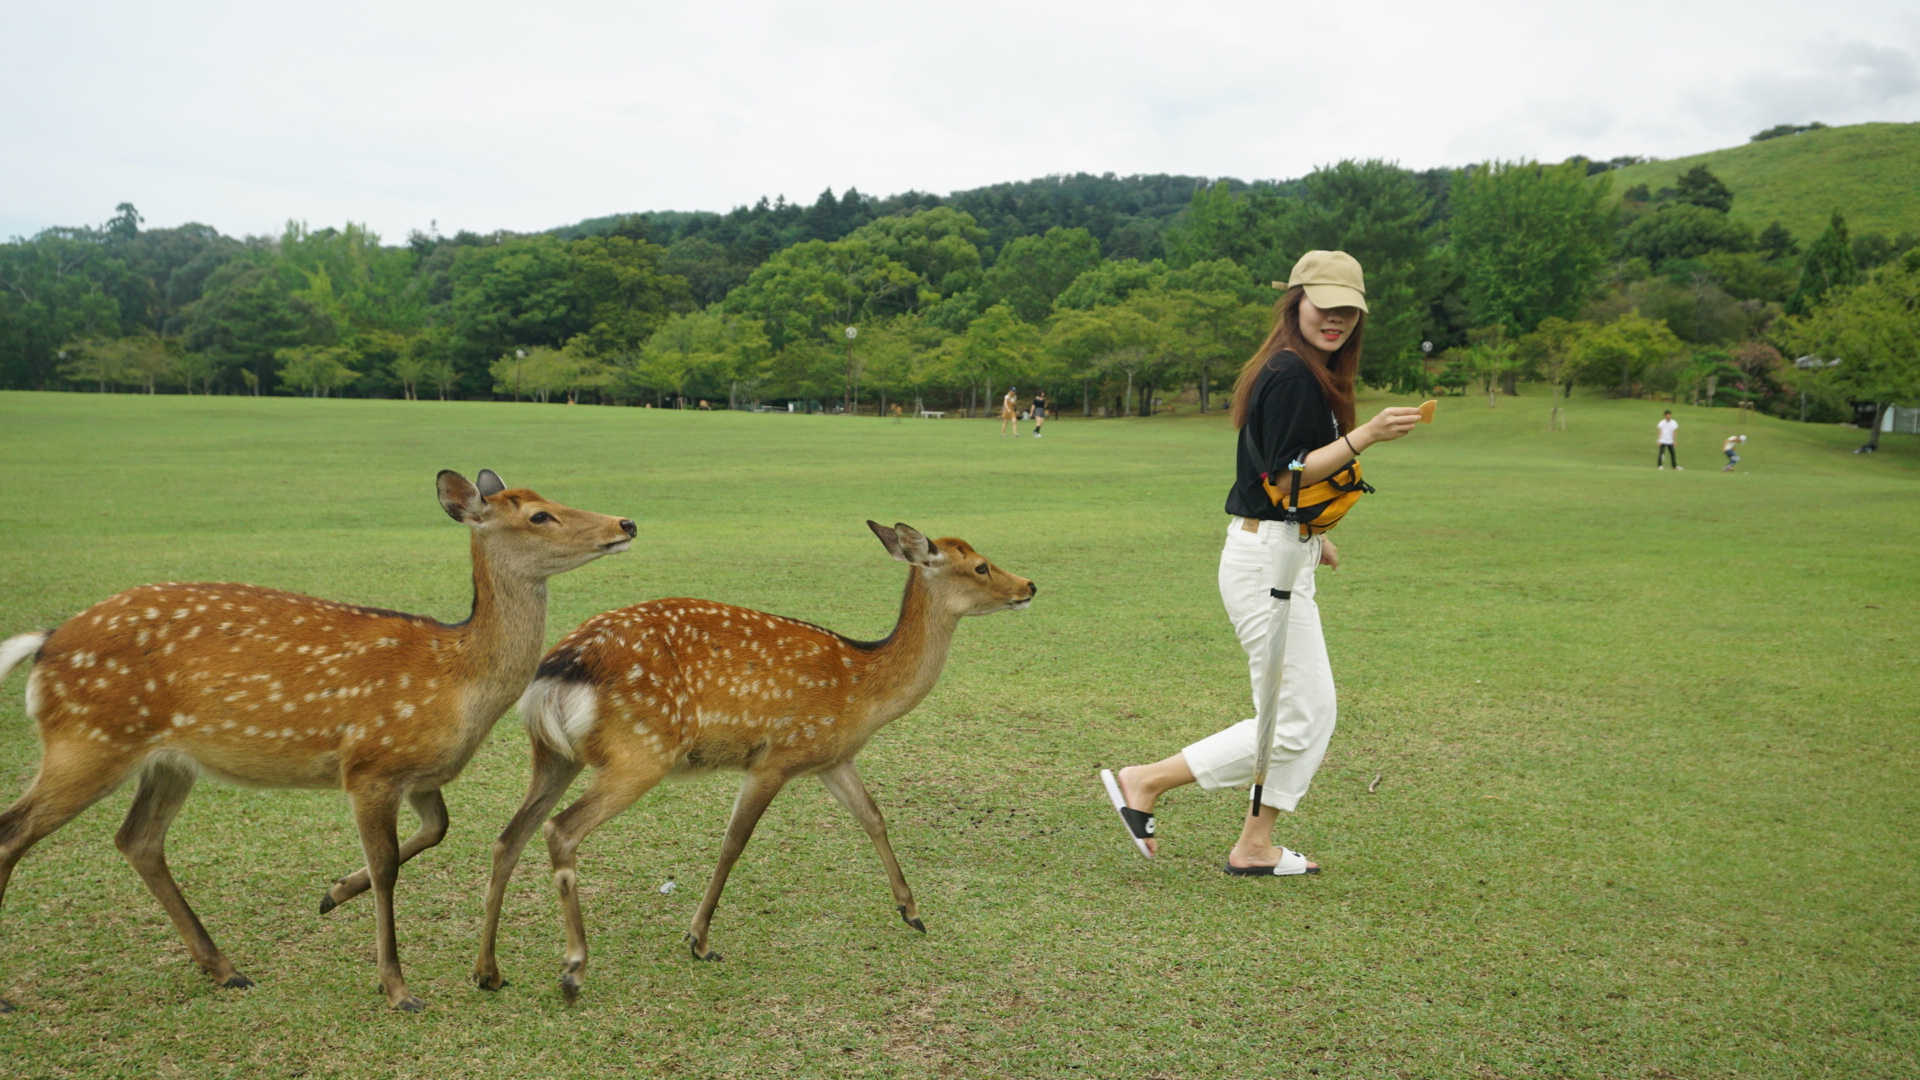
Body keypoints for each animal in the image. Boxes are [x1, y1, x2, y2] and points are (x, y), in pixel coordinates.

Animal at [0, 466, 637, 1006]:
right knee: (15, 830)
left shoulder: (418, 773)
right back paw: (11, 996)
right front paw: (397, 988)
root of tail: (45, 645)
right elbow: (387, 867)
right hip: (88, 740)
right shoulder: (369, 765)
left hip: (168, 761)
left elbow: (437, 830)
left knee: (138, 840)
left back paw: (226, 970)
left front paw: (333, 894)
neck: (457, 682)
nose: (624, 523)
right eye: (538, 515)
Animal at [472, 522, 1036, 999]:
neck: (864, 690)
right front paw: (699, 941)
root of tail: (557, 670)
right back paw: (573, 969)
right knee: (560, 830)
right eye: (981, 566)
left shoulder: (831, 758)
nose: (1029, 585)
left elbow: (873, 817)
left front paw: (911, 911)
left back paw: (488, 971)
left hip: (554, 755)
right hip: (641, 752)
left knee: (508, 837)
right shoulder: (778, 757)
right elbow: (734, 843)